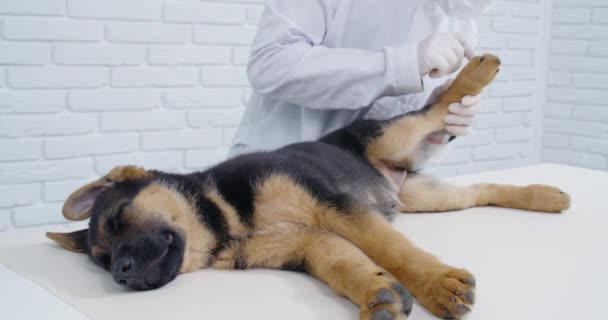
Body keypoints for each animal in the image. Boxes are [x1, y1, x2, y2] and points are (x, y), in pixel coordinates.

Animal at [47, 55, 568, 320]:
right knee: (481, 189)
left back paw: (474, 73)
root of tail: (391, 174)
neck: (225, 220)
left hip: (392, 137)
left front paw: (435, 285)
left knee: (436, 108)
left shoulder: (336, 207)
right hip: (425, 199)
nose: (120, 275)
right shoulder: (311, 243)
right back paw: (546, 195)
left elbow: (394, 250)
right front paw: (376, 291)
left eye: (119, 219)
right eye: (101, 260)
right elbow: (346, 264)